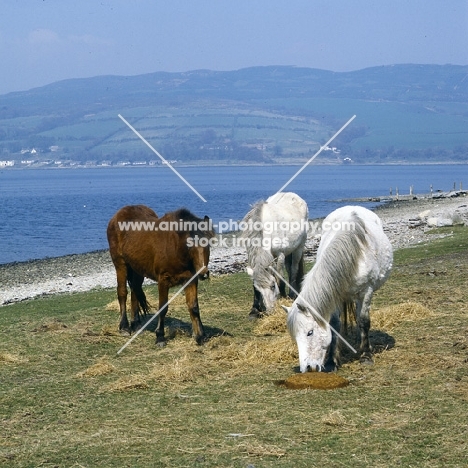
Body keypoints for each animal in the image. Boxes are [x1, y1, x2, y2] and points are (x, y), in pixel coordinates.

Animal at [106, 204, 214, 344]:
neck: (175, 248)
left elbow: (194, 307)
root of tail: (118, 215)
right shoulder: (163, 280)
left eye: (208, 244)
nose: (203, 273)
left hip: (137, 269)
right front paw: (160, 336)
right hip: (120, 264)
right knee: (122, 292)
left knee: (135, 290)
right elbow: (163, 308)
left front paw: (200, 336)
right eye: (190, 245)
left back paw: (136, 324)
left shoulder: (190, 279)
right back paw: (124, 327)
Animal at [243, 192, 308, 320]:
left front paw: (283, 297)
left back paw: (292, 295)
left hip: (298, 248)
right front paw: (254, 310)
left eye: (273, 286)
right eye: (258, 289)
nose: (269, 311)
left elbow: (280, 278)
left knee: (294, 269)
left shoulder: (280, 254)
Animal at [284, 207, 394, 372]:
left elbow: (364, 321)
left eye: (310, 332)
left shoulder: (366, 292)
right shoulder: (334, 296)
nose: (307, 368)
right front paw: (332, 361)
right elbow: (335, 325)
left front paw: (366, 355)